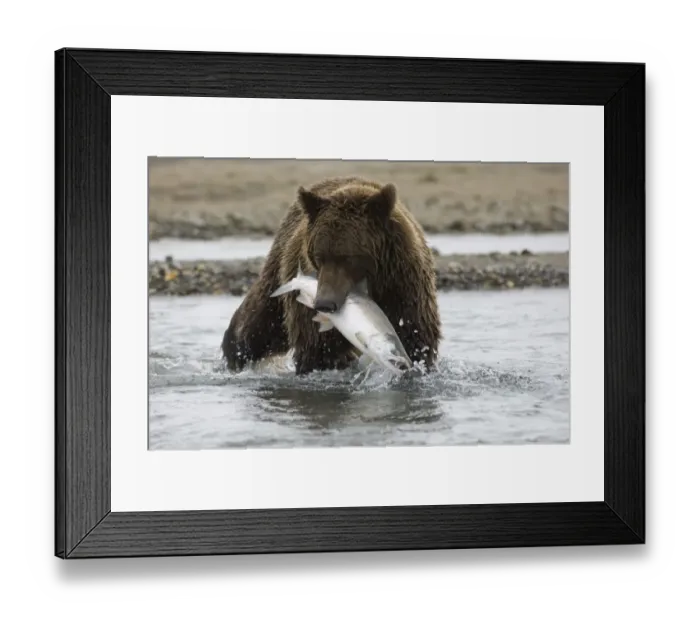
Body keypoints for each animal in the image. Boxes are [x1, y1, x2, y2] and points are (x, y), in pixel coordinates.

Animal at [221, 176, 442, 376]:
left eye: (349, 257)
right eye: (319, 256)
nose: (324, 303)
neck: (374, 282)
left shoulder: (403, 286)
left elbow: (416, 337)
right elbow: (320, 350)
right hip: (279, 272)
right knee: (257, 322)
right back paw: (233, 351)